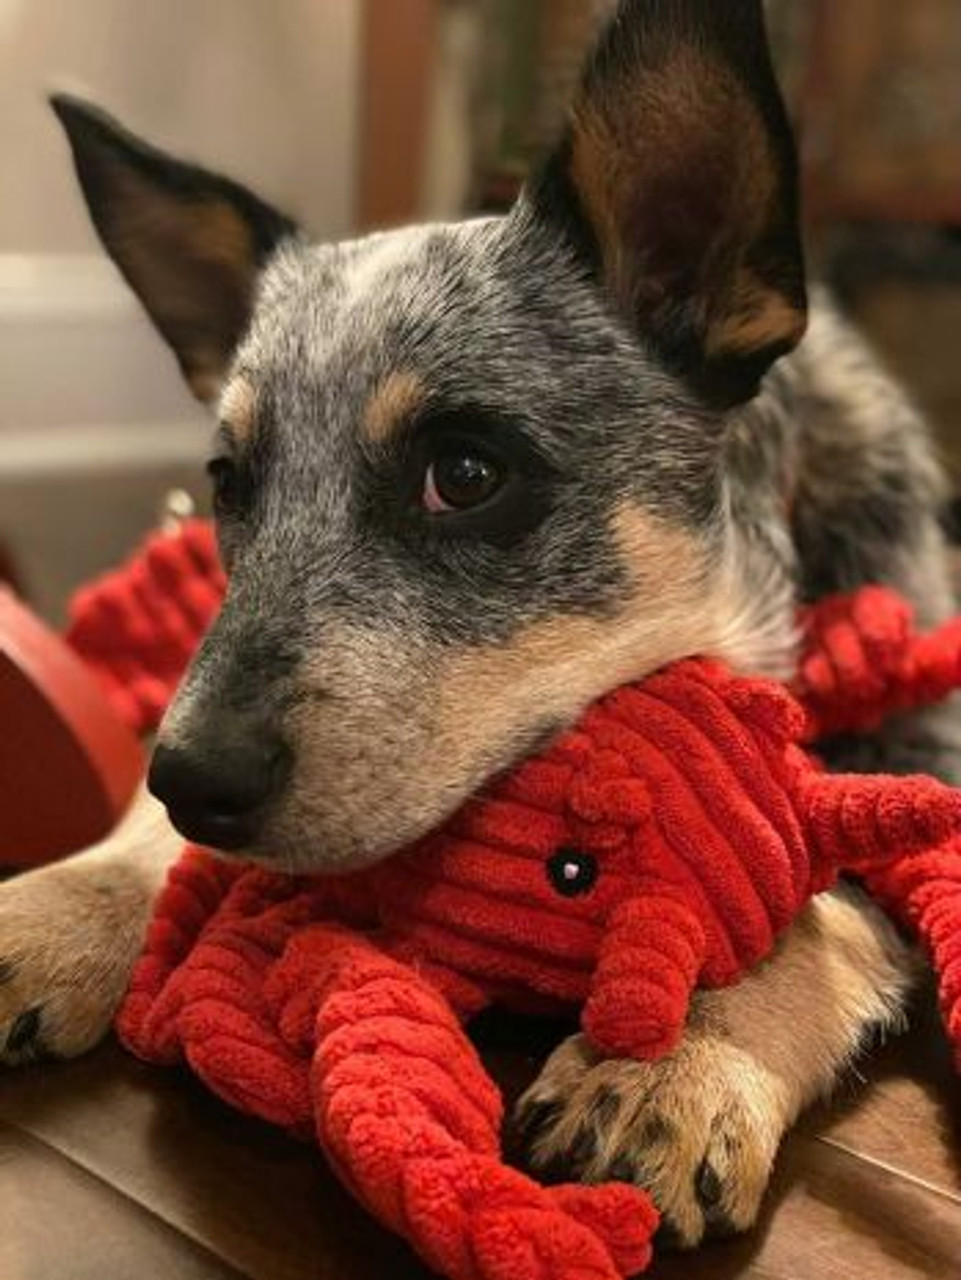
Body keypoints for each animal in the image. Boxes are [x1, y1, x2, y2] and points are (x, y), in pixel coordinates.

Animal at [0, 0, 952, 1249]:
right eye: (229, 482)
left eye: (464, 473)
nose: (191, 776)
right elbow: (152, 844)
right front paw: (66, 898)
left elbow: (818, 900)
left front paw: (676, 1063)